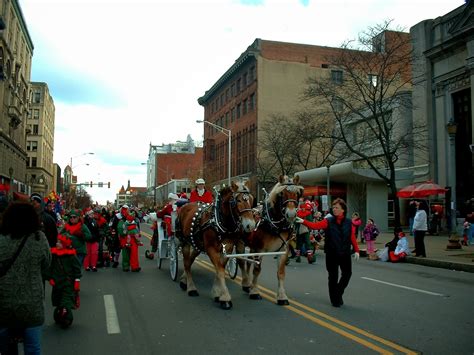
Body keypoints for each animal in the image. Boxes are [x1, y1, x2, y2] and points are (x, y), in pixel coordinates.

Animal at [175, 182, 256, 310]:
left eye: (252, 199)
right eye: (238, 200)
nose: (251, 225)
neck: (219, 220)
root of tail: (185, 206)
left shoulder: (227, 248)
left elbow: (220, 268)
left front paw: (217, 293)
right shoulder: (211, 248)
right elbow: (220, 270)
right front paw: (225, 298)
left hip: (197, 243)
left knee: (190, 260)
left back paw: (184, 281)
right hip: (185, 242)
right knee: (187, 263)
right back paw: (191, 288)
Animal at [237, 175, 304, 306]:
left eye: (298, 193)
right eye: (281, 194)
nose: (291, 214)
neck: (274, 223)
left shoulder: (283, 250)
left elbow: (281, 273)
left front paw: (282, 296)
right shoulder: (259, 249)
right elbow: (257, 270)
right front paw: (255, 292)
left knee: (248, 262)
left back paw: (248, 285)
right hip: (240, 243)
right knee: (241, 261)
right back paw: (246, 283)